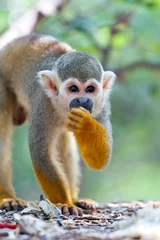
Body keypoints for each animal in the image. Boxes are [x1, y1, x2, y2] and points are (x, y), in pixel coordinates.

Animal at [0, 33, 115, 216]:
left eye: (90, 89)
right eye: (73, 88)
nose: (83, 100)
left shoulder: (101, 104)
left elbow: (101, 160)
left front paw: (85, 125)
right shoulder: (42, 103)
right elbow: (41, 154)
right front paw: (64, 204)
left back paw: (75, 198)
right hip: (2, 79)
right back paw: (7, 197)